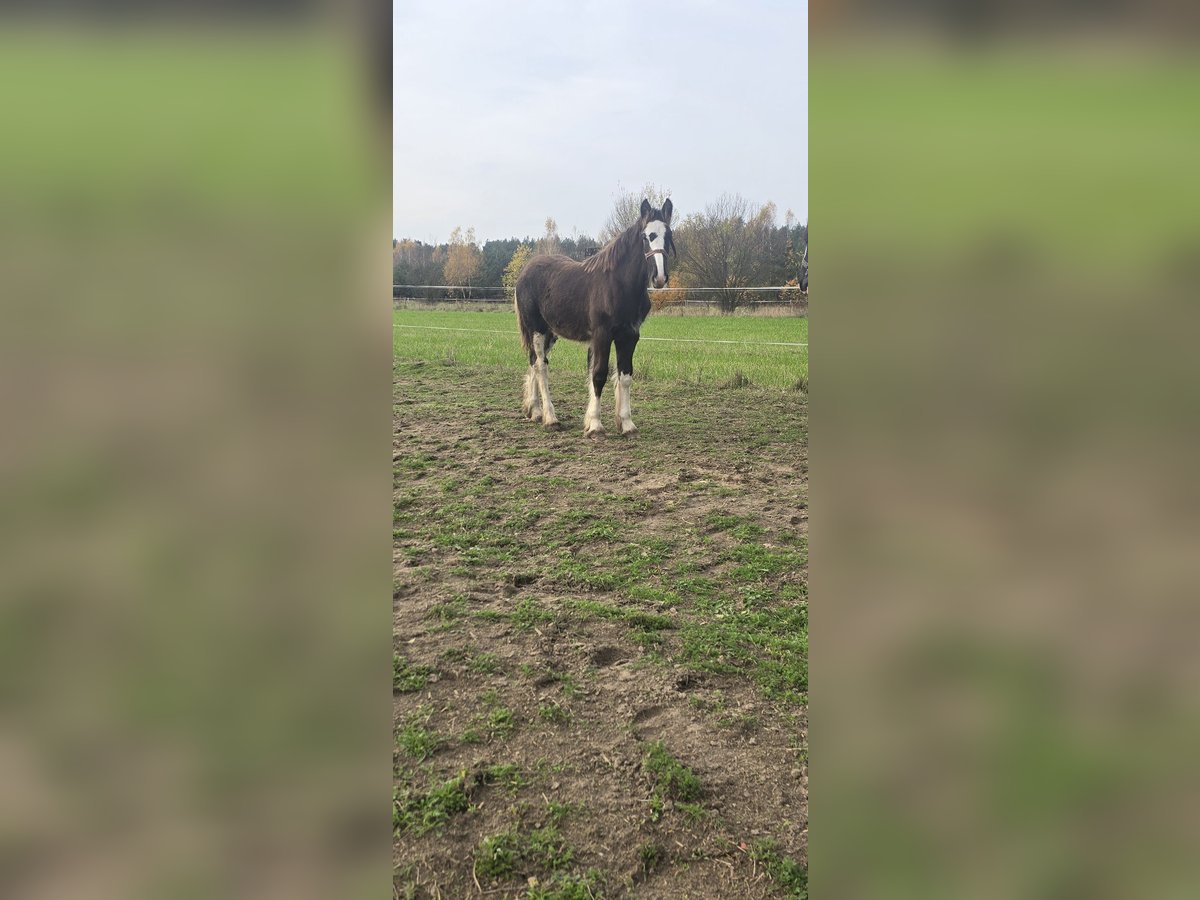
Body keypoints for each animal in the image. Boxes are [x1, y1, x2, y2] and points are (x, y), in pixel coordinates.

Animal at [514, 198, 674, 436]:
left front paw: (627, 424)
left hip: (551, 333)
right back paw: (551, 418)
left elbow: (625, 376)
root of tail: (525, 272)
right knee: (541, 367)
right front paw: (596, 426)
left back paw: (534, 411)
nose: (660, 278)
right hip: (537, 329)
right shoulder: (602, 335)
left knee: (533, 361)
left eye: (669, 235)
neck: (618, 285)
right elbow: (598, 375)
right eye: (646, 236)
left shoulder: (630, 336)